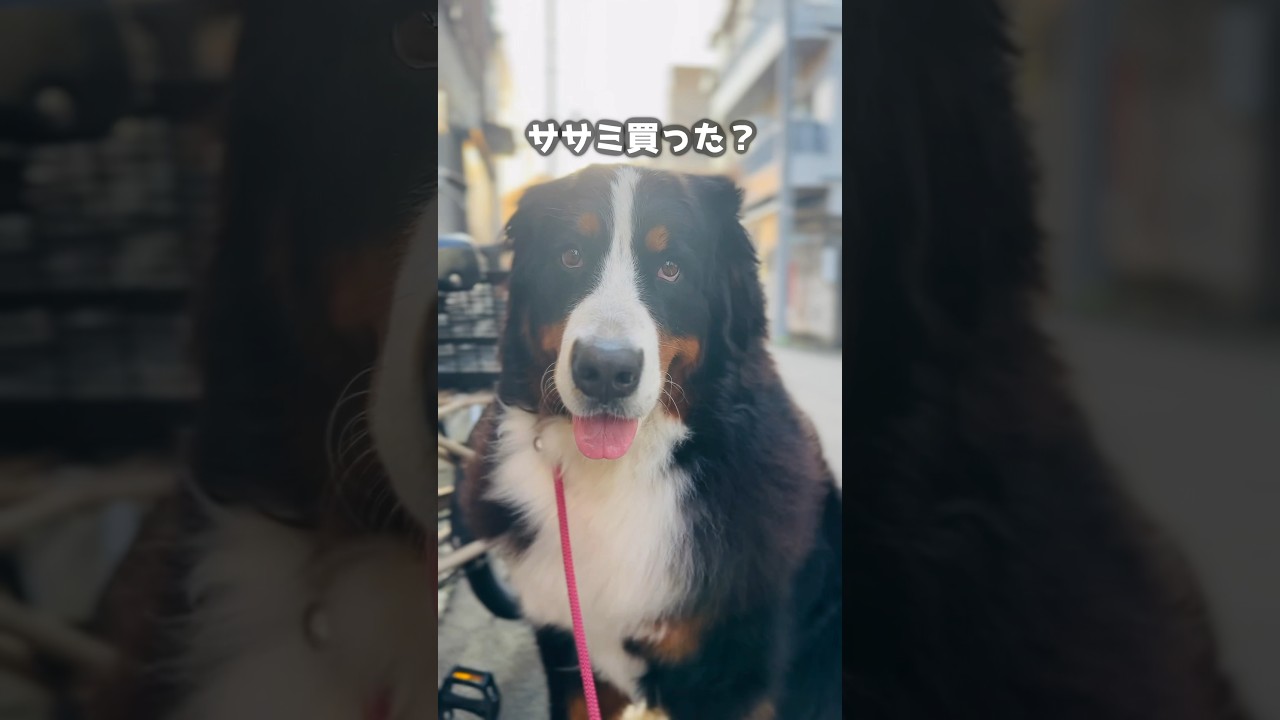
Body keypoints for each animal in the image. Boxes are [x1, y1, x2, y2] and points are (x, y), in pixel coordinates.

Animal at [447, 165, 843, 720]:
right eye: (571, 256)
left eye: (671, 268)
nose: (605, 370)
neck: (621, 471)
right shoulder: (568, 646)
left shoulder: (726, 677)